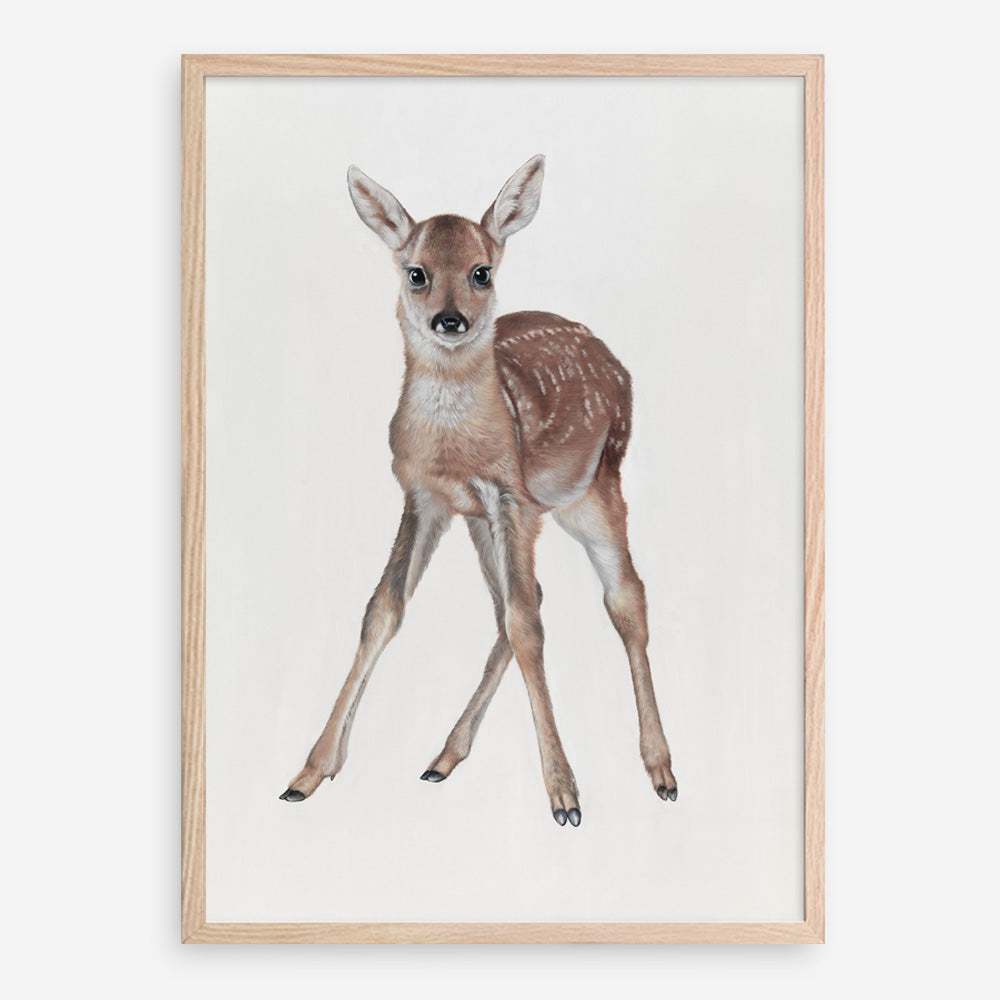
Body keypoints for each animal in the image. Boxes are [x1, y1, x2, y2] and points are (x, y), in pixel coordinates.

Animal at [279, 155, 677, 826]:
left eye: (481, 272)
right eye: (416, 273)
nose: (451, 320)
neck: (456, 444)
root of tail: (617, 364)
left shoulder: (510, 496)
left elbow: (527, 626)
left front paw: (565, 796)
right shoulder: (426, 497)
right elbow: (383, 611)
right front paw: (309, 772)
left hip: (594, 490)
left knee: (624, 598)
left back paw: (661, 770)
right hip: (487, 521)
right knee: (522, 600)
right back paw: (442, 758)